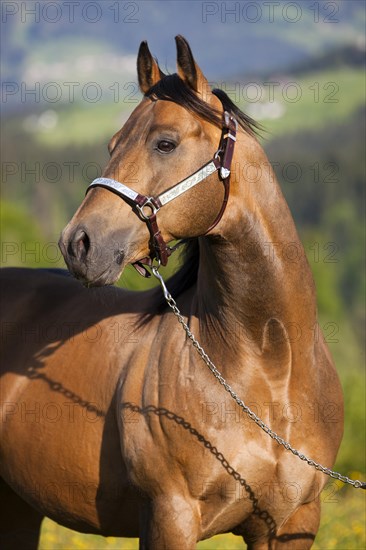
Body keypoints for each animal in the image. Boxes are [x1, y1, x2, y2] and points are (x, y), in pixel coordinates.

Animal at [0, 36, 344, 548]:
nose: (77, 243)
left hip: (19, 508)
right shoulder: (170, 516)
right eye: (112, 145)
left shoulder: (293, 525)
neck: (270, 369)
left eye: (165, 143)